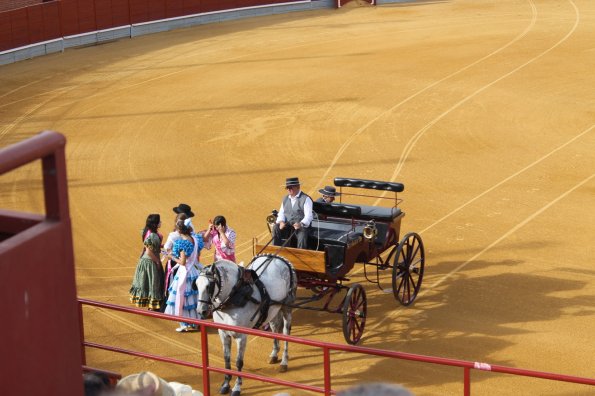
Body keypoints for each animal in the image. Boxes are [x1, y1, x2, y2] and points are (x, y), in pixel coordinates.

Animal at [197, 255, 296, 394]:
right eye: (196, 284)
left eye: (209, 286)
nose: (201, 311)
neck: (234, 297)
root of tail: (280, 258)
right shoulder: (223, 333)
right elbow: (226, 359)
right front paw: (225, 384)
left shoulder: (241, 336)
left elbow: (239, 362)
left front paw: (237, 387)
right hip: (273, 308)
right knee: (275, 327)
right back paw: (274, 354)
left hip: (286, 307)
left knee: (286, 333)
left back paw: (284, 362)